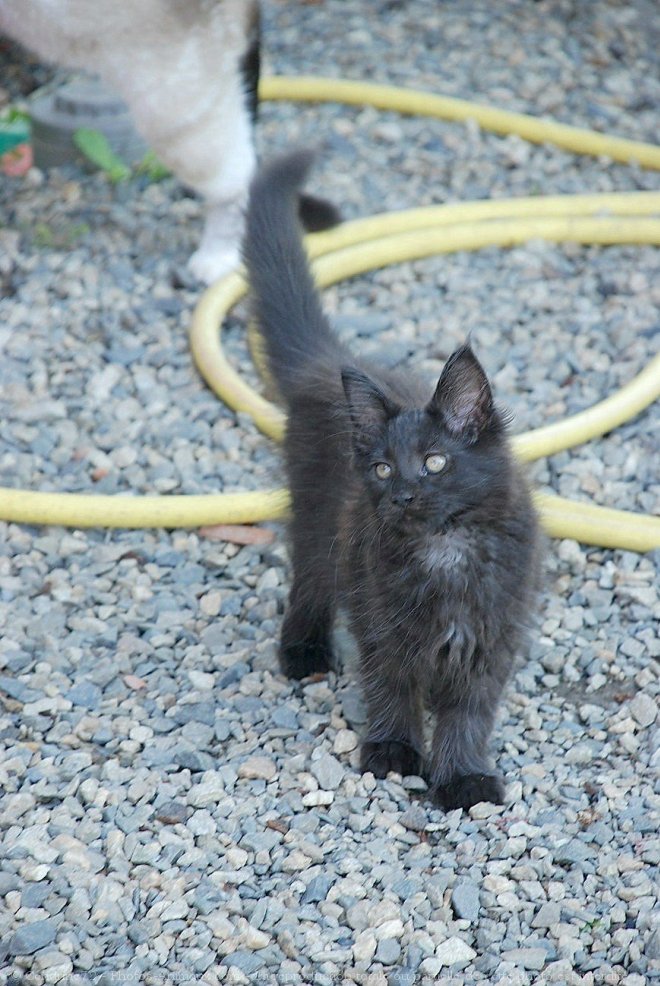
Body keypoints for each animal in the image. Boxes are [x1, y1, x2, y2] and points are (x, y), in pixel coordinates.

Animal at [242, 148, 540, 808]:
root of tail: (329, 363)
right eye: (380, 468)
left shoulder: (490, 638)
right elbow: (391, 685)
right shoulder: (379, 616)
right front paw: (394, 753)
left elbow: (468, 713)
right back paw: (303, 650)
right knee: (309, 581)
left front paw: (462, 777)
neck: (446, 550)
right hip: (320, 525)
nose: (402, 494)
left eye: (434, 462)